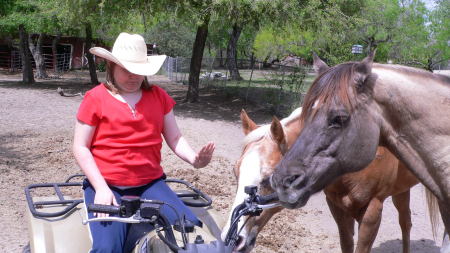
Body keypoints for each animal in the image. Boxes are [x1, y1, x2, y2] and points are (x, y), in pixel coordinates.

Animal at [270, 51, 450, 251]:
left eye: (339, 118)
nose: (281, 182)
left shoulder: (372, 211)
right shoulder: (337, 208)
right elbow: (347, 244)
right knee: (406, 222)